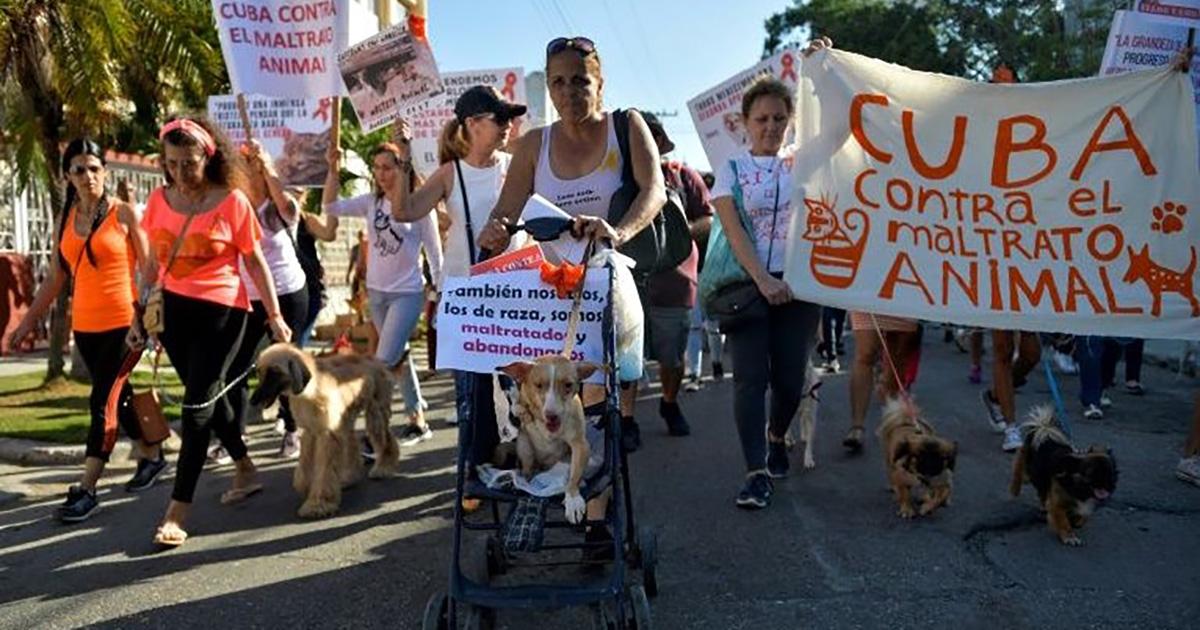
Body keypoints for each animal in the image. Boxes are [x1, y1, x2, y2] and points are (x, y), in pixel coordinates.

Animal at [249, 343, 396, 516]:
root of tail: (374, 359)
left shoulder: (327, 433)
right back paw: (349, 477)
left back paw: (384, 467)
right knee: (352, 444)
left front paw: (318, 504)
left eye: (275, 372)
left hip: (375, 410)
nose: (253, 400)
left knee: (385, 438)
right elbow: (305, 462)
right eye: (259, 372)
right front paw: (304, 485)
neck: (308, 392)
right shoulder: (310, 431)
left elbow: (325, 470)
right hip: (346, 418)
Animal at [501, 355, 604, 523]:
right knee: (527, 468)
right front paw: (520, 408)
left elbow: (575, 475)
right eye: (538, 385)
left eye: (568, 385)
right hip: (524, 446)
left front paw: (573, 499)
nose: (551, 415)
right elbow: (520, 401)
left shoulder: (580, 445)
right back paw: (523, 481)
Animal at [1012, 405, 1113, 542]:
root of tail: (1043, 428)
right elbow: (1062, 520)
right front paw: (1069, 536)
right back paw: (1014, 489)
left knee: (1042, 492)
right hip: (1026, 469)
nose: (1105, 483)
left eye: (1109, 473)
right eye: (1091, 474)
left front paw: (1078, 521)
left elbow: (1084, 515)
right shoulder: (1057, 504)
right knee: (1019, 474)